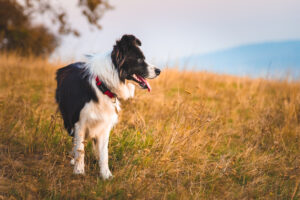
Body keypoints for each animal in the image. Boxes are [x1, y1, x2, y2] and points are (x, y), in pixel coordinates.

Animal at [55, 34, 161, 180]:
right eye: (139, 59)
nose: (159, 71)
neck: (103, 86)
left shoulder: (104, 125)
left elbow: (104, 153)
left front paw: (106, 175)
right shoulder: (79, 123)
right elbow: (80, 149)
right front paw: (79, 171)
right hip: (68, 119)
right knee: (75, 141)